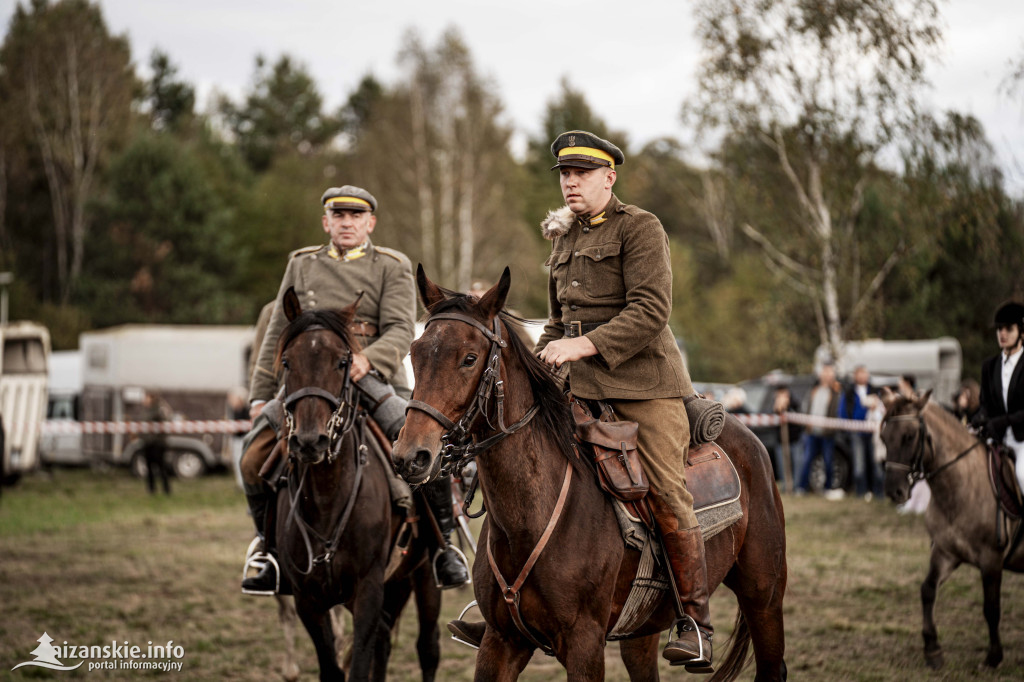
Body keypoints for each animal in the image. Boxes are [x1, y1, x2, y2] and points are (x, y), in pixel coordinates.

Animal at [270, 286, 438, 679]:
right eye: (287, 362)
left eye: (342, 362)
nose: (310, 441)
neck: (328, 497)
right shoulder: (309, 600)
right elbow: (333, 667)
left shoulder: (367, 592)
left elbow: (359, 664)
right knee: (385, 642)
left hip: (424, 574)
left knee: (428, 648)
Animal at [395, 268, 786, 679]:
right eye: (415, 353)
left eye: (469, 358)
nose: (411, 456)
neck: (528, 516)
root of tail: (748, 437)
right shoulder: (500, 641)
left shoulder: (584, 644)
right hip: (641, 631)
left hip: (764, 598)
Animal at [880, 385, 1024, 667]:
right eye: (883, 437)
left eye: (909, 436)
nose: (894, 492)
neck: (961, 487)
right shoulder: (946, 552)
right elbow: (927, 590)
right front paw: (932, 649)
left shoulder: (991, 559)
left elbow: (991, 608)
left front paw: (993, 657)